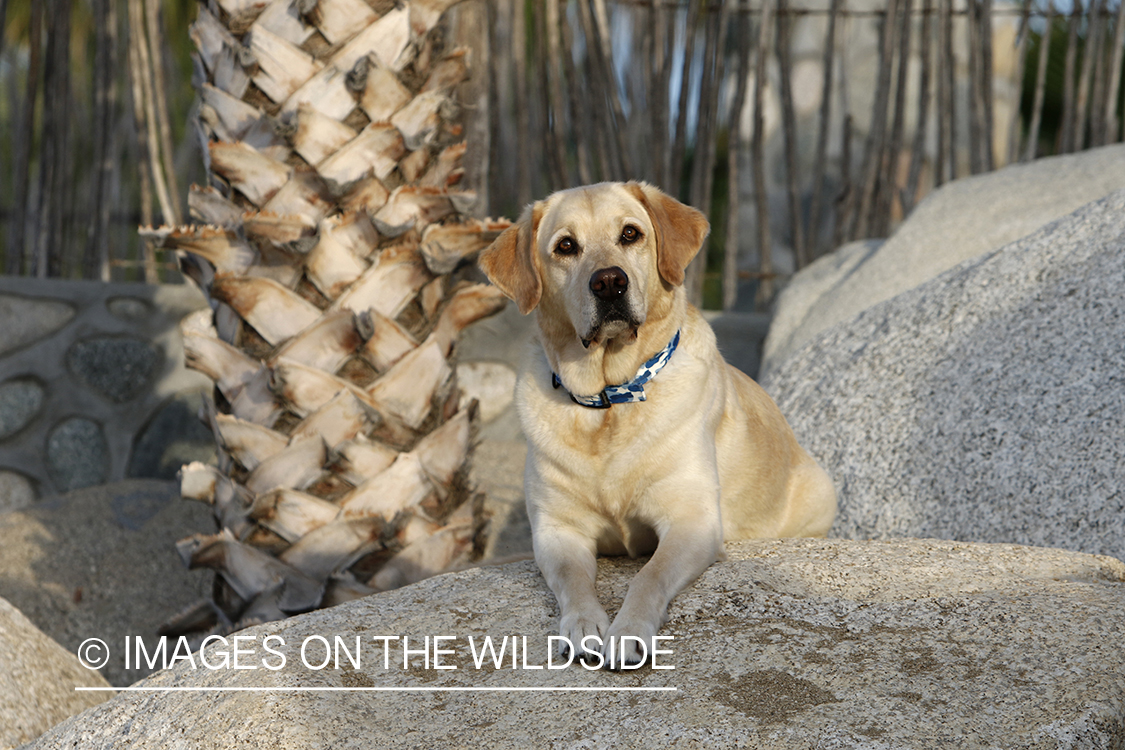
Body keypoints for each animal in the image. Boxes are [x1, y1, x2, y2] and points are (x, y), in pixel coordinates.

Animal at [474, 183, 837, 670]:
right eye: (565, 246)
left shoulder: (691, 519)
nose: (609, 282)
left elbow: (649, 574)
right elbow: (573, 578)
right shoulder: (556, 529)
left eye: (630, 233)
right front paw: (584, 623)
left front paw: (628, 630)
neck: (610, 400)